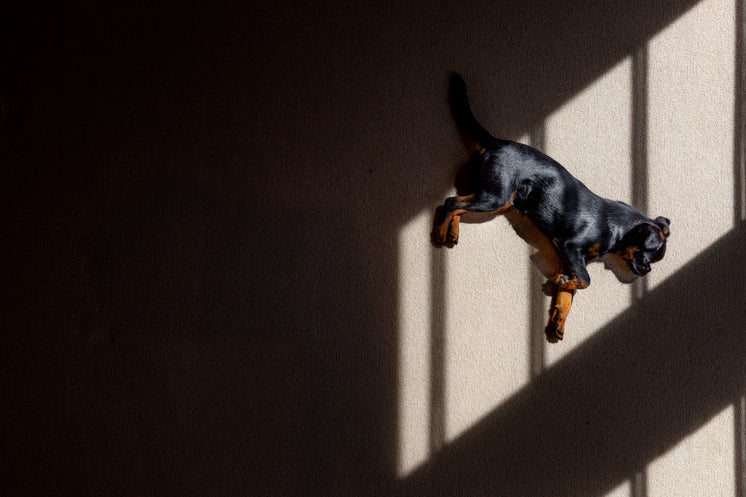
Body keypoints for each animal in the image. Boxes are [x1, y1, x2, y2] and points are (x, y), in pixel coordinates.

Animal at [430, 73, 668, 342]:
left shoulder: (568, 260)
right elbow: (586, 280)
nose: (648, 271)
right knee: (450, 202)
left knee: (458, 205)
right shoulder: (569, 248)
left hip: (497, 198)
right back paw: (440, 232)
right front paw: (559, 282)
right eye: (647, 255)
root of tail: (496, 142)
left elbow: (566, 299)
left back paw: (452, 232)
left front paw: (558, 320)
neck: (616, 229)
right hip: (495, 197)